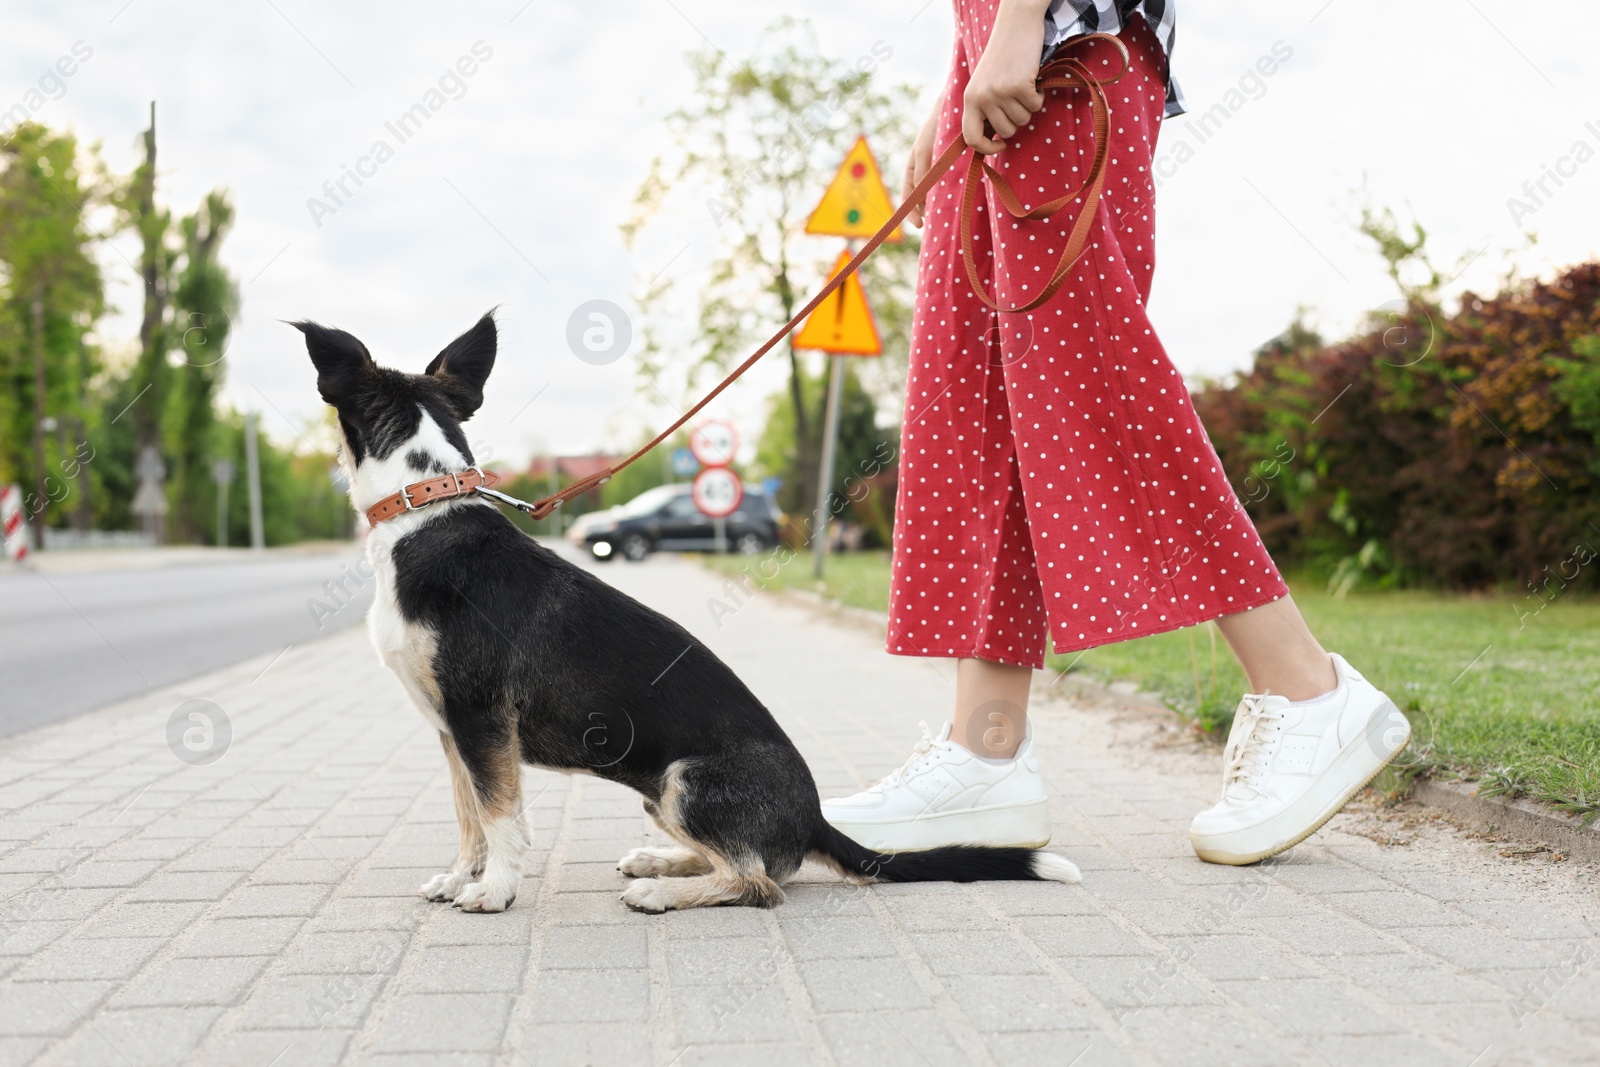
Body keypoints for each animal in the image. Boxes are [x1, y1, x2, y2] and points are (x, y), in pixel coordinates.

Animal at [296, 313, 1081, 915]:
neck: (423, 512)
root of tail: (814, 818)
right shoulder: (451, 730)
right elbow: (469, 819)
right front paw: (462, 877)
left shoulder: (481, 721)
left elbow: (501, 818)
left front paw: (495, 891)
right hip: (659, 794)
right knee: (745, 865)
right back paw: (659, 861)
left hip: (684, 782)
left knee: (760, 883)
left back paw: (661, 892)